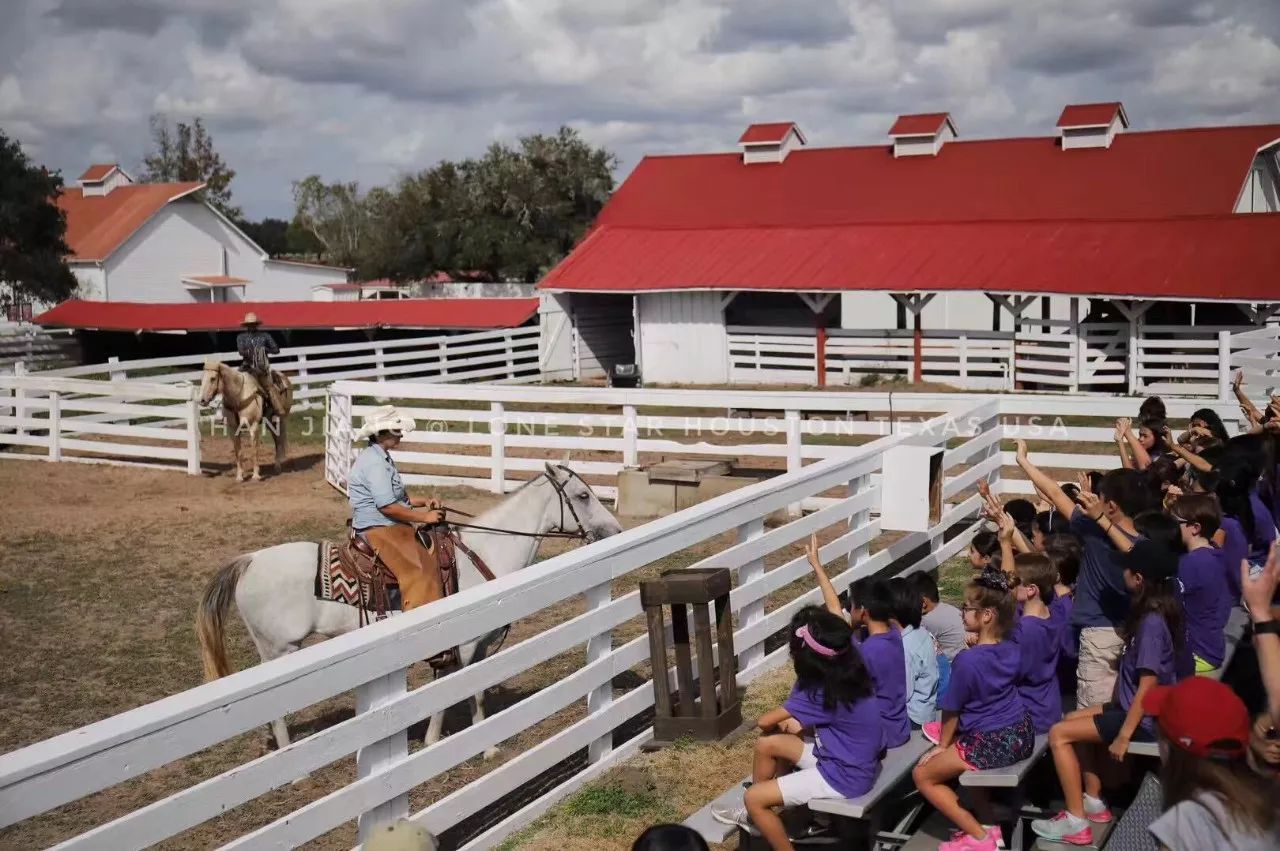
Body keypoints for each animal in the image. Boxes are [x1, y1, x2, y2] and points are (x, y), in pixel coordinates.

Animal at [194, 465, 624, 757]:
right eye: (583, 496)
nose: (616, 531)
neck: (481, 554)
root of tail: (248, 561)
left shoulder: (476, 647)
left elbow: (465, 690)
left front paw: (447, 739)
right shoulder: (466, 646)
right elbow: (465, 691)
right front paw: (475, 746)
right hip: (279, 649)